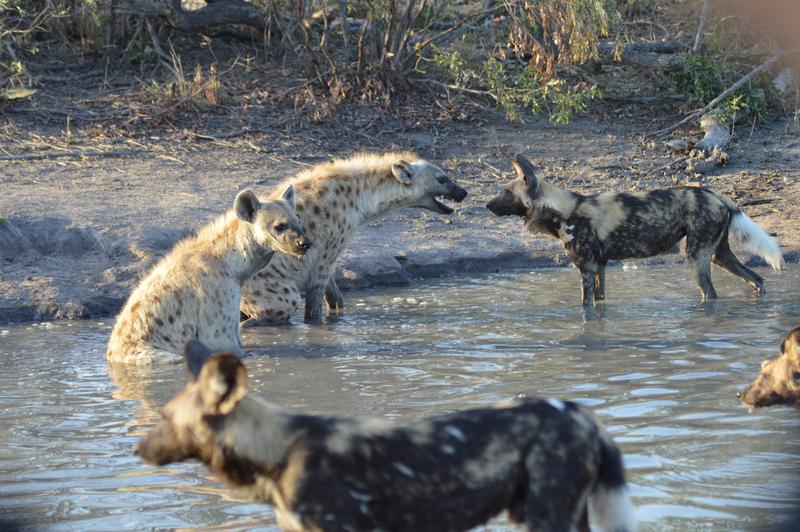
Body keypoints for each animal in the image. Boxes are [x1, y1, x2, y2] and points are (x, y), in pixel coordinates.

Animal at [104, 187, 310, 366]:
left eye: (298, 222)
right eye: (279, 226)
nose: (305, 243)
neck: (233, 264)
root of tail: (112, 355)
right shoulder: (216, 320)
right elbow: (227, 345)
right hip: (155, 354)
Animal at [239, 151, 468, 324]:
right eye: (442, 179)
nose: (464, 192)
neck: (358, 196)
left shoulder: (326, 253)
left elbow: (335, 296)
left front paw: (337, 315)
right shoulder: (327, 248)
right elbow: (315, 302)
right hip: (281, 293)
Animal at [484, 154, 784, 306]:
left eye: (505, 192)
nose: (486, 205)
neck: (562, 209)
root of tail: (716, 194)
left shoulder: (586, 269)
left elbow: (585, 307)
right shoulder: (600, 266)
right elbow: (600, 302)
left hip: (696, 258)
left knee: (711, 294)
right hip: (718, 256)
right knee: (757, 279)